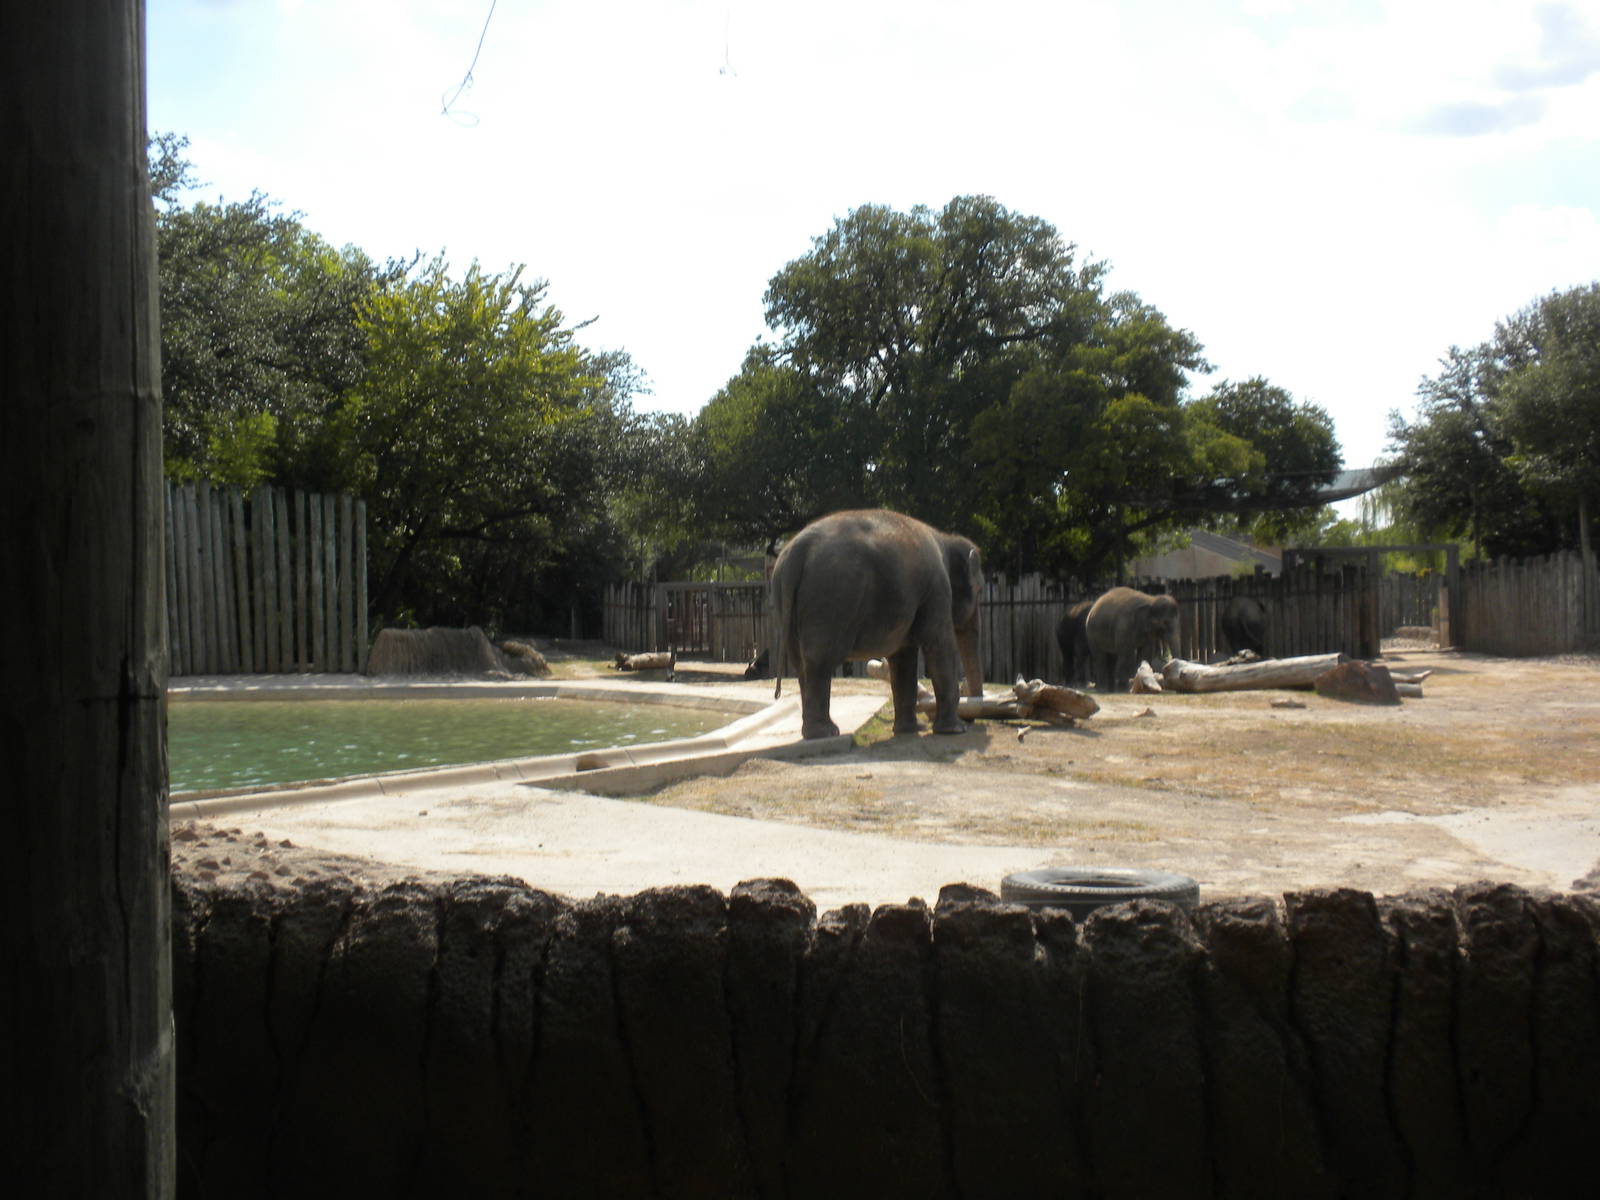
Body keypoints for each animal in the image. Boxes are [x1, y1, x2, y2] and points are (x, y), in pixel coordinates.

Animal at [771, 509, 984, 739]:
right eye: (980, 590)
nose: (971, 719)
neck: (946, 539)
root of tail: (798, 549)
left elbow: (903, 657)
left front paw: (910, 730)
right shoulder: (937, 588)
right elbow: (939, 644)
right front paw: (955, 730)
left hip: (787, 601)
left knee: (800, 663)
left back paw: (816, 733)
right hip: (832, 596)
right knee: (820, 660)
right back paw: (826, 732)